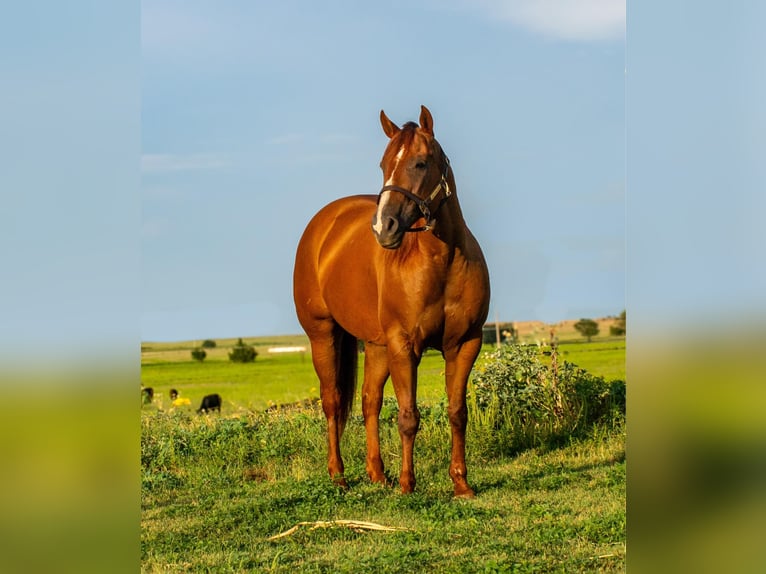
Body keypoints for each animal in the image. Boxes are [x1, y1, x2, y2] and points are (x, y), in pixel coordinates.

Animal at [293, 105, 490, 497]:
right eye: (383, 164)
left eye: (420, 162)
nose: (384, 227)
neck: (442, 261)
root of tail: (323, 224)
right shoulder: (405, 346)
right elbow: (408, 416)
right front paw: (407, 484)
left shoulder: (465, 344)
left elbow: (457, 412)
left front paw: (461, 483)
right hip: (324, 335)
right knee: (333, 401)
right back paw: (339, 475)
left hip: (377, 344)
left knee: (369, 400)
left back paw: (376, 473)